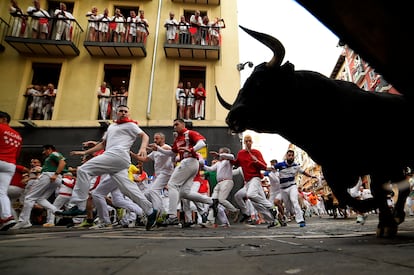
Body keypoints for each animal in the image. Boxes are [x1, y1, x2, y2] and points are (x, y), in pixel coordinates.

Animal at [218, 25, 412, 238]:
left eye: (260, 82)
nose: (231, 118)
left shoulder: (381, 161)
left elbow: (377, 190)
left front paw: (386, 222)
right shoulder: (332, 167)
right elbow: (346, 195)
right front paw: (381, 217)